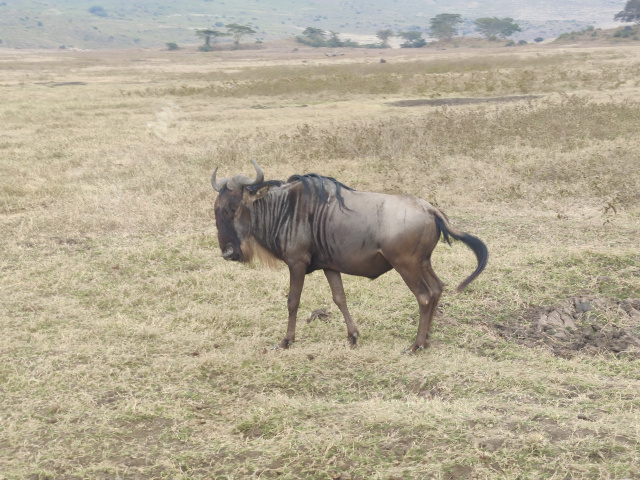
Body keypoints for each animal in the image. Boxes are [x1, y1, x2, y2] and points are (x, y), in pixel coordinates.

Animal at [212, 160, 488, 352]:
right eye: (216, 209)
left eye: (235, 207)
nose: (228, 252)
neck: (286, 210)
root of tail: (429, 208)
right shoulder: (330, 265)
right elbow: (339, 298)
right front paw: (352, 336)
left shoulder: (297, 263)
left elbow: (293, 301)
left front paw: (287, 341)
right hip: (422, 263)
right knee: (437, 288)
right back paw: (427, 339)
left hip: (406, 265)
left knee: (424, 295)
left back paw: (415, 345)